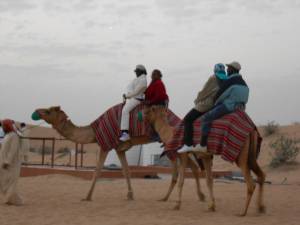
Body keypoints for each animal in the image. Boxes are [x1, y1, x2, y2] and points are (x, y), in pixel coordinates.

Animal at [32, 105, 206, 202]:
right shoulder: (119, 148)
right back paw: (199, 196)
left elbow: (97, 171)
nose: (36, 112)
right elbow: (126, 170)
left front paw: (87, 196)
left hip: (171, 145)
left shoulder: (105, 145)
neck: (93, 131)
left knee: (190, 166)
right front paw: (130, 195)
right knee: (193, 166)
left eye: (48, 111)